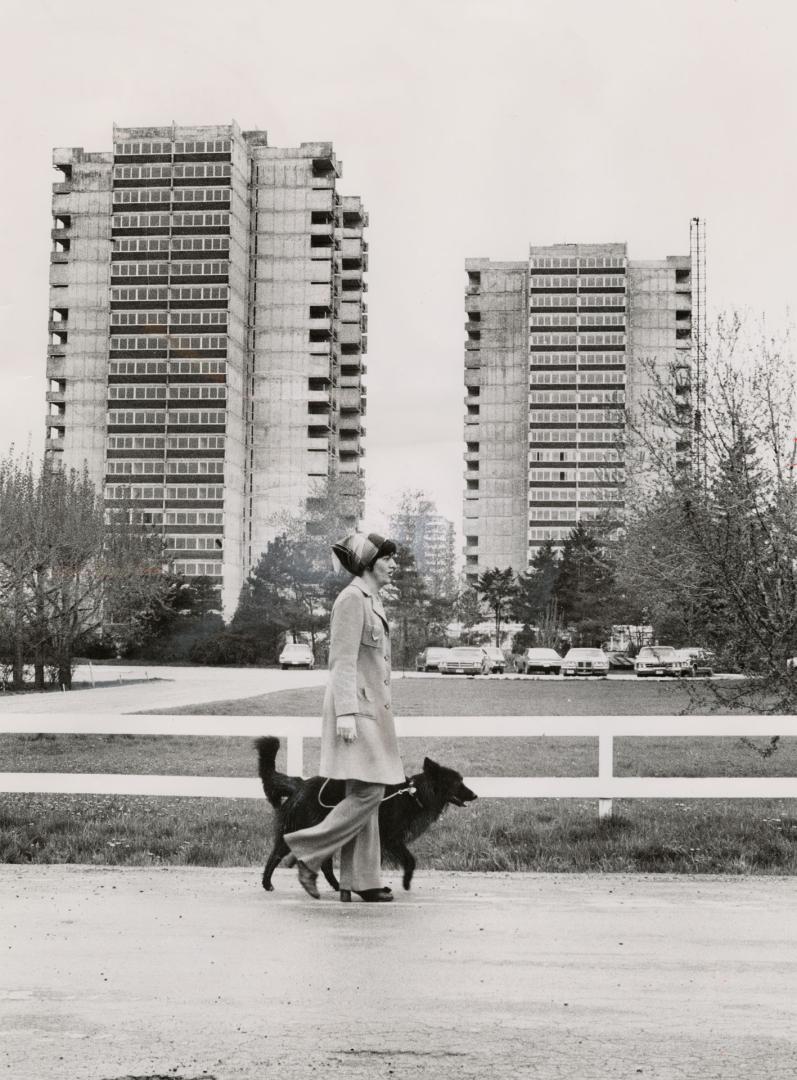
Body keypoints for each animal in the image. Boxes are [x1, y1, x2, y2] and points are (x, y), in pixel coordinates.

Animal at [258, 734, 475, 894]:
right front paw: (404, 883)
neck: (414, 794)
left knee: (315, 861)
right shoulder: (391, 838)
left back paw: (334, 885)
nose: (475, 795)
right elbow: (410, 860)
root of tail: (301, 784)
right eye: (458, 782)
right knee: (279, 855)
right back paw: (268, 883)